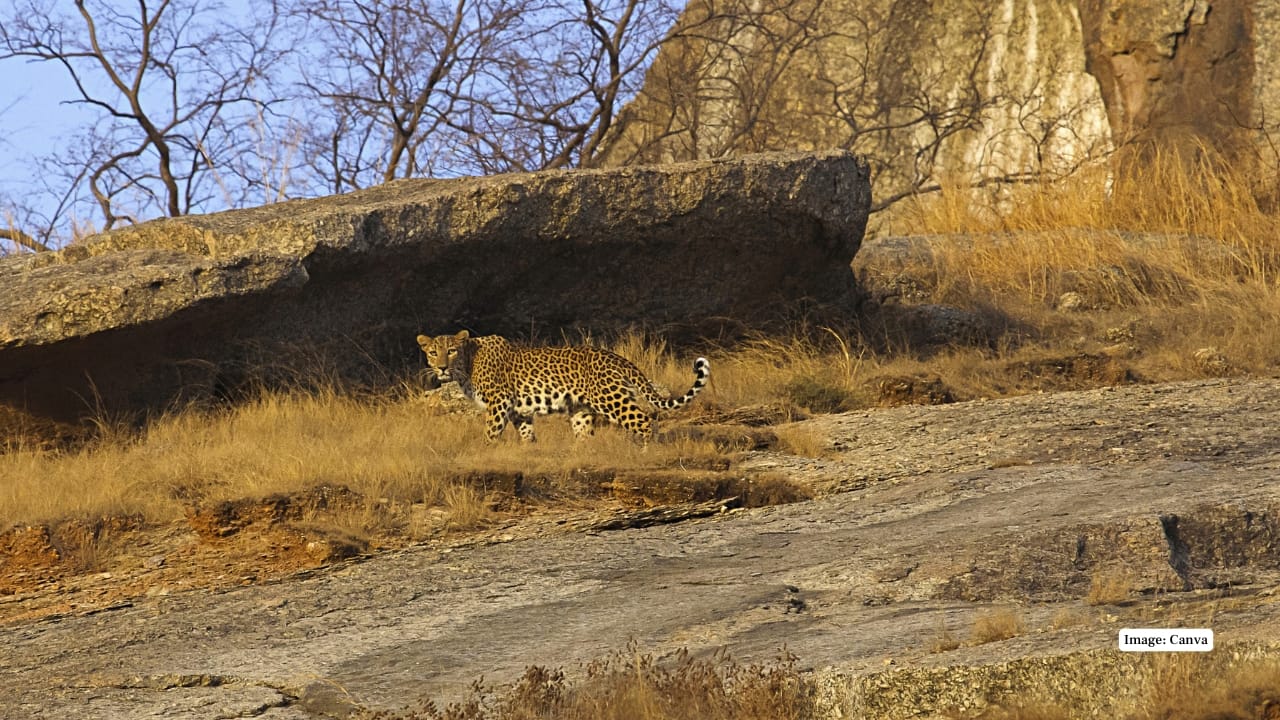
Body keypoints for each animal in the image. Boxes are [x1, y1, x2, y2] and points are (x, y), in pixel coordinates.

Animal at [416, 330, 710, 442]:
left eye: (451, 351)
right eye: (432, 352)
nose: (441, 367)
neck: (467, 365)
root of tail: (617, 357)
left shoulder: (499, 402)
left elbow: (490, 433)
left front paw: (487, 451)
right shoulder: (518, 410)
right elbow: (527, 434)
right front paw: (530, 452)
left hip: (611, 399)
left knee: (646, 421)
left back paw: (646, 452)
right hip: (581, 409)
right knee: (585, 435)